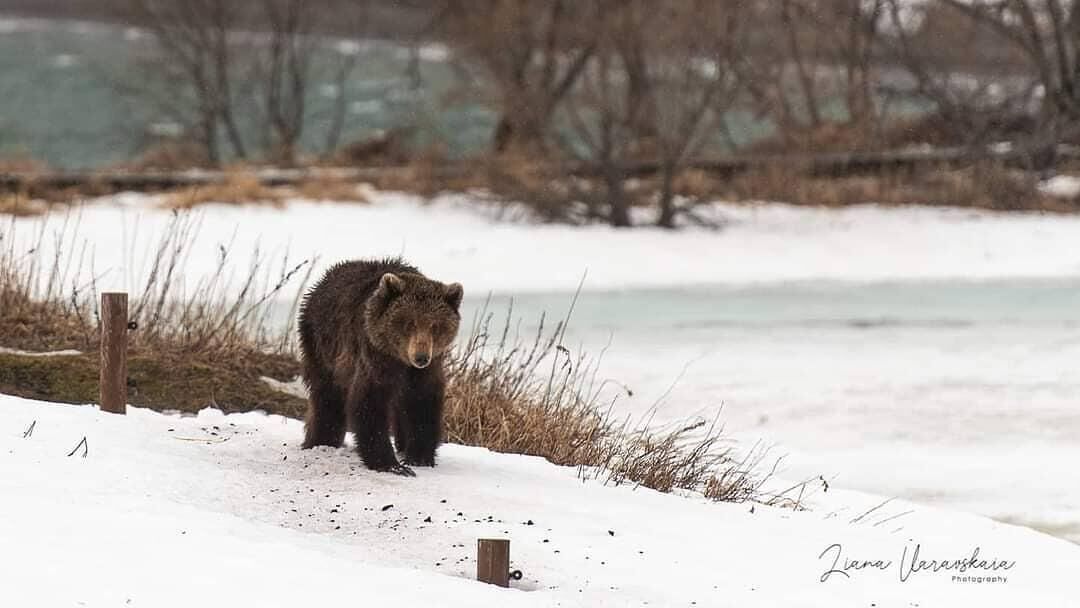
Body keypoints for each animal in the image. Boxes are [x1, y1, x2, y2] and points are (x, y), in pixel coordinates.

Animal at [298, 257, 462, 475]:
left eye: (435, 326)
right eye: (409, 323)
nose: (420, 357)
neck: (399, 359)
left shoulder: (425, 370)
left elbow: (422, 403)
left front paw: (419, 457)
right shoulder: (374, 356)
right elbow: (370, 402)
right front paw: (391, 464)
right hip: (322, 344)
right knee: (327, 396)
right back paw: (321, 441)